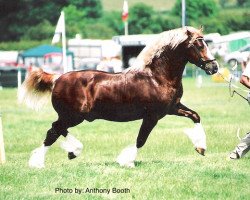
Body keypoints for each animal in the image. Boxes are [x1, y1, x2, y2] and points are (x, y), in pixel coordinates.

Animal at [19, 25, 219, 168]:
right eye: (198, 44)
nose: (214, 67)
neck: (157, 77)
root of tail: (57, 78)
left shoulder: (172, 108)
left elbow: (195, 116)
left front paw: (201, 148)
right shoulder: (152, 115)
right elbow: (141, 139)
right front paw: (127, 161)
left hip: (72, 116)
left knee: (58, 129)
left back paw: (72, 151)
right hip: (73, 116)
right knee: (53, 131)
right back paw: (39, 162)